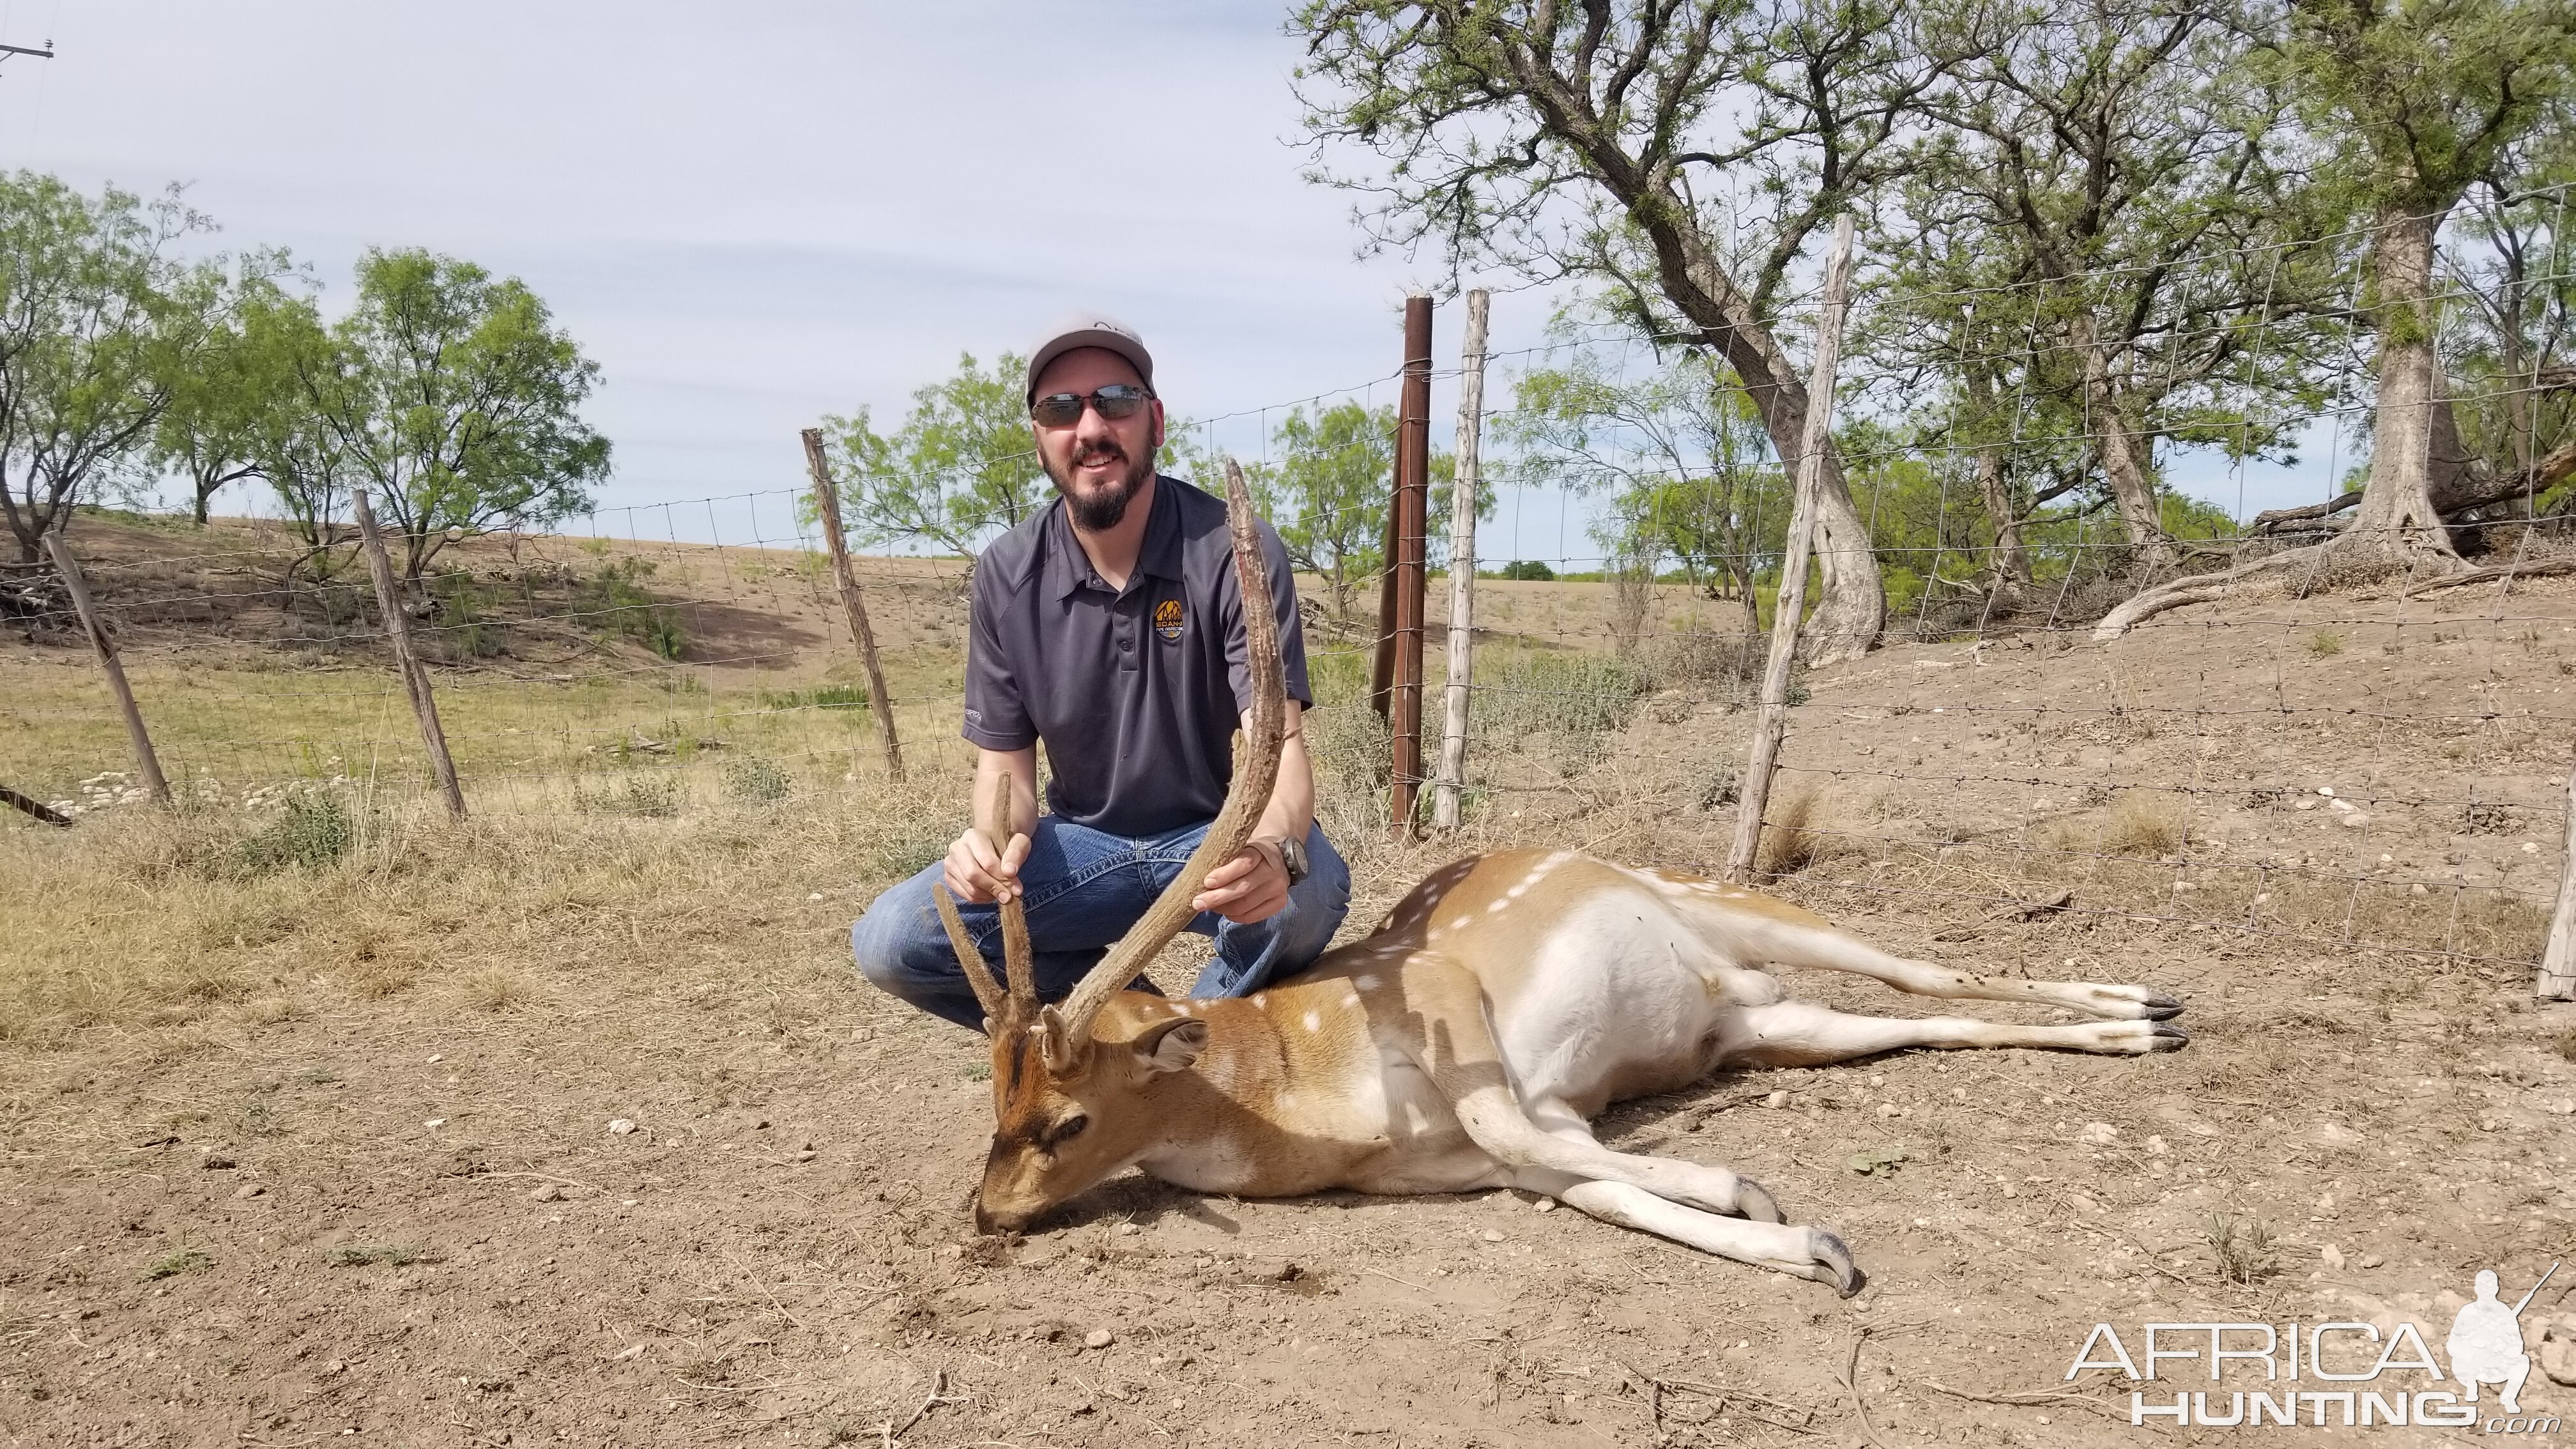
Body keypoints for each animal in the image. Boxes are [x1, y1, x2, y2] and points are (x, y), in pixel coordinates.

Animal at [932, 459, 2195, 1284]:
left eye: (1066, 1120)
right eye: (992, 1103)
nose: (984, 1212)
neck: (1318, 1104)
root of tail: (1737, 982)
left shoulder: (1443, 999)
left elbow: (1536, 1132)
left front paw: (1755, 1193)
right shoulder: (1490, 1170)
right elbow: (1598, 1186)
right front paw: (1805, 1238)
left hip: (1747, 909)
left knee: (1924, 972)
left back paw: (2151, 1002)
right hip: (1767, 1023)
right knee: (1907, 1021)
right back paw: (2144, 1025)